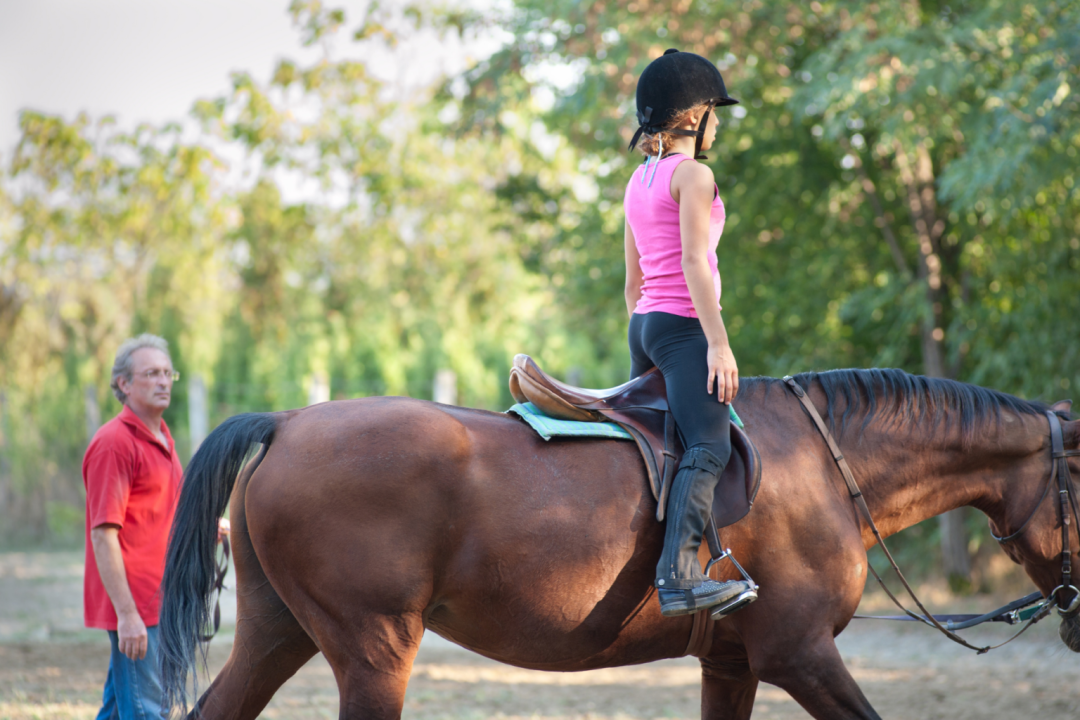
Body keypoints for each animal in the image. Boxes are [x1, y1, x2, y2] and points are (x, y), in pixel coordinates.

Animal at [159, 369, 1080, 716]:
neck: (822, 461)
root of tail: (289, 422)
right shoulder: (801, 654)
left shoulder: (733, 663)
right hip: (373, 651)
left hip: (279, 632)